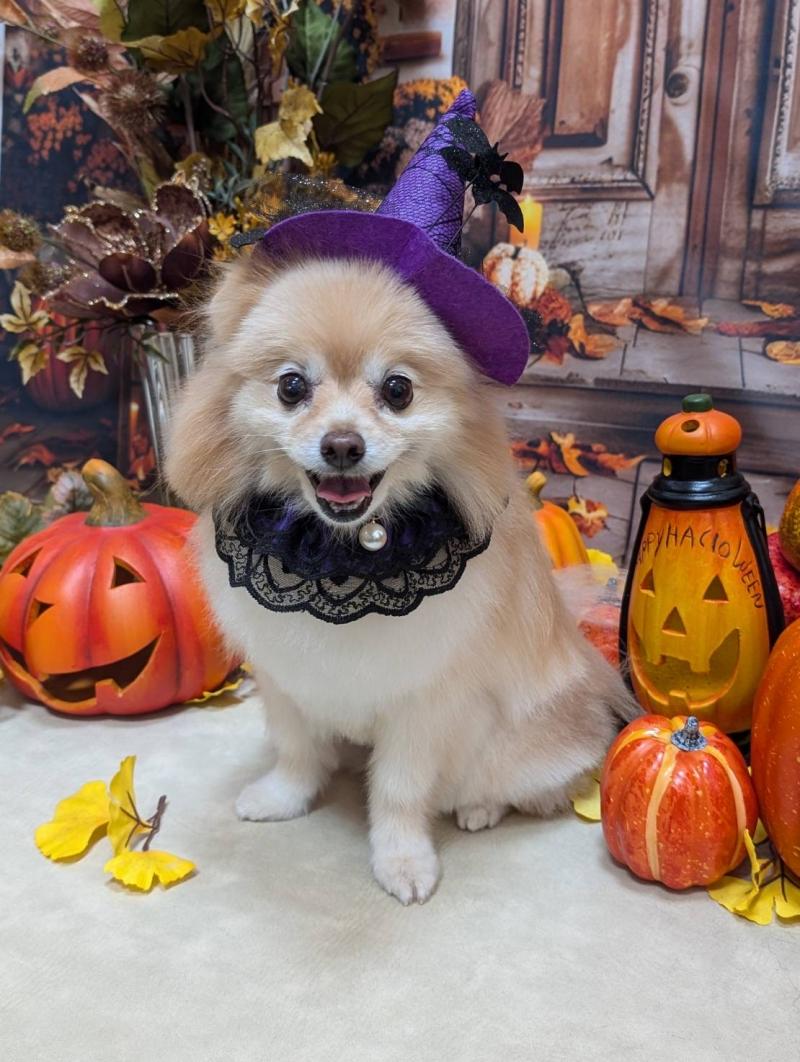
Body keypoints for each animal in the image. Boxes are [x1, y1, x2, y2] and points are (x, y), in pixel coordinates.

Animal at [165, 250, 637, 904]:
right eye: (291, 386)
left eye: (398, 389)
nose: (342, 445)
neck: (341, 563)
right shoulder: (286, 678)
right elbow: (296, 751)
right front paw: (284, 797)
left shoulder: (422, 704)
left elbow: (399, 791)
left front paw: (403, 861)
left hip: (521, 749)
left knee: (519, 786)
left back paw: (479, 809)